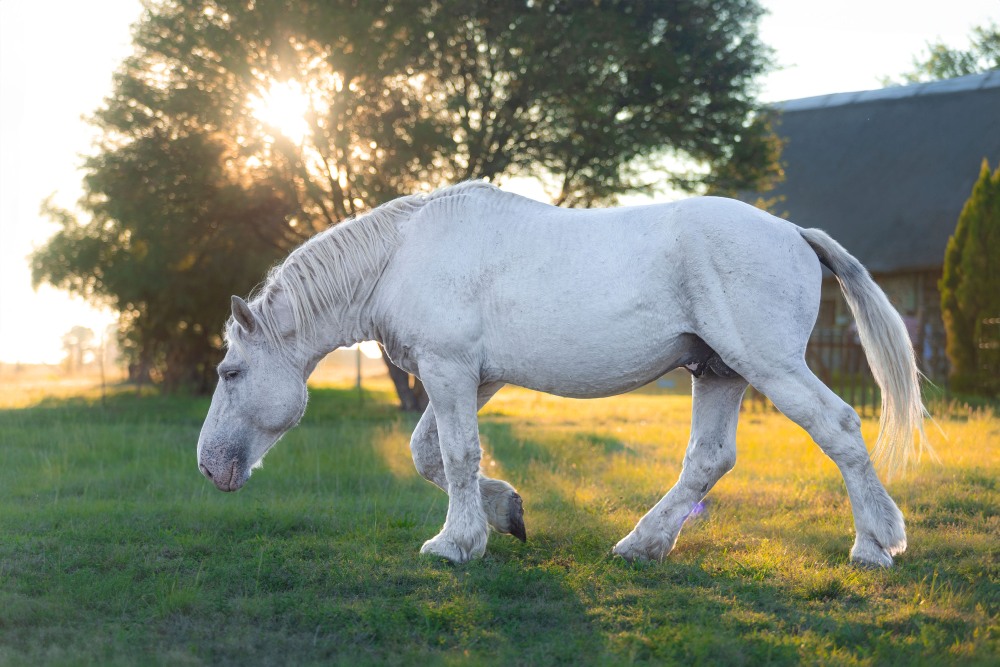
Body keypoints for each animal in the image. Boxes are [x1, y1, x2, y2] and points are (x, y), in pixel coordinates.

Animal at [197, 181, 927, 567]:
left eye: (230, 371)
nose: (208, 467)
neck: (402, 255)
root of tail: (795, 233)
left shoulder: (450, 371)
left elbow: (455, 455)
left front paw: (456, 543)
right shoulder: (470, 377)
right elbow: (430, 453)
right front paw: (506, 512)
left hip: (767, 365)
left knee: (838, 427)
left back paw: (876, 543)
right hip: (718, 371)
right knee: (708, 458)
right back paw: (642, 543)